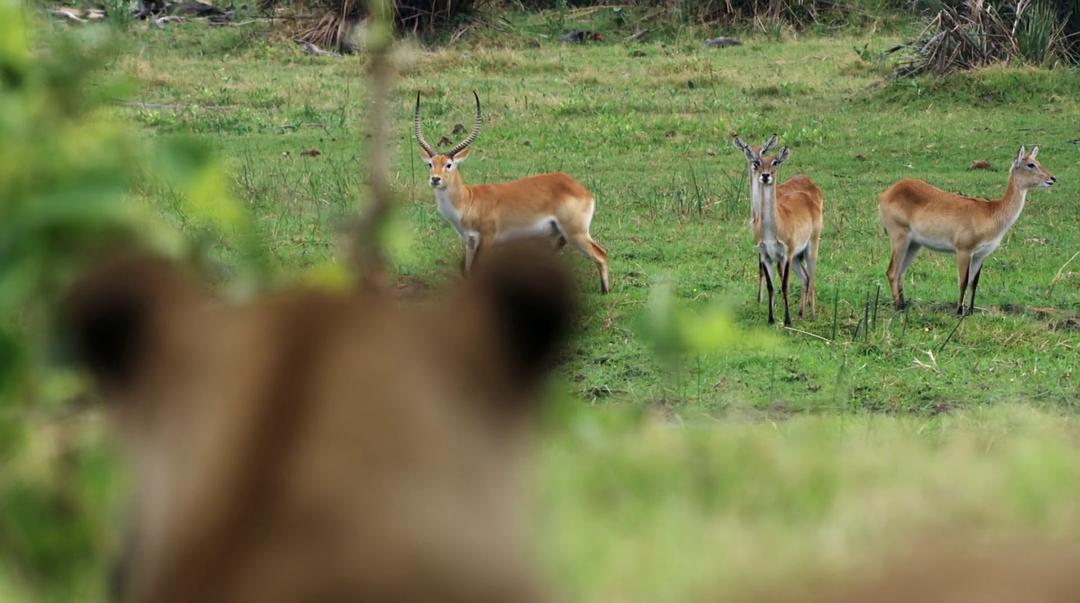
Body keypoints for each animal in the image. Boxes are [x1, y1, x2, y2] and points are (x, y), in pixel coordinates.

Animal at [416, 91, 613, 296]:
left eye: (449, 164)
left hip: (575, 233)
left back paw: (605, 291)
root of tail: (580, 189)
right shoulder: (469, 242)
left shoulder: (487, 239)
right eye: (430, 164)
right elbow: (468, 271)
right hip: (560, 235)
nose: (435, 179)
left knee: (601, 253)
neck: (469, 200)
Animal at [734, 136, 825, 326]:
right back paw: (801, 313)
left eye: (767, 154)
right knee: (805, 278)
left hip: (811, 246)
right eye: (748, 151)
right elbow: (769, 281)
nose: (764, 174)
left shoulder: (785, 255)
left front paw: (786, 320)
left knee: (812, 278)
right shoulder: (764, 253)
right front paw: (769, 315)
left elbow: (784, 283)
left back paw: (811, 315)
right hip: (798, 256)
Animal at [876, 146, 1054, 317]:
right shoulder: (963, 250)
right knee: (892, 271)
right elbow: (962, 281)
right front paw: (958, 312)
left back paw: (904, 305)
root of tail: (886, 193)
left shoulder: (980, 255)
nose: (1052, 178)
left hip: (914, 244)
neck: (991, 212)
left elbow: (973, 283)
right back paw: (899, 307)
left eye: (1037, 161)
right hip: (899, 237)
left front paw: (970, 311)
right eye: (1030, 164)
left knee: (900, 273)